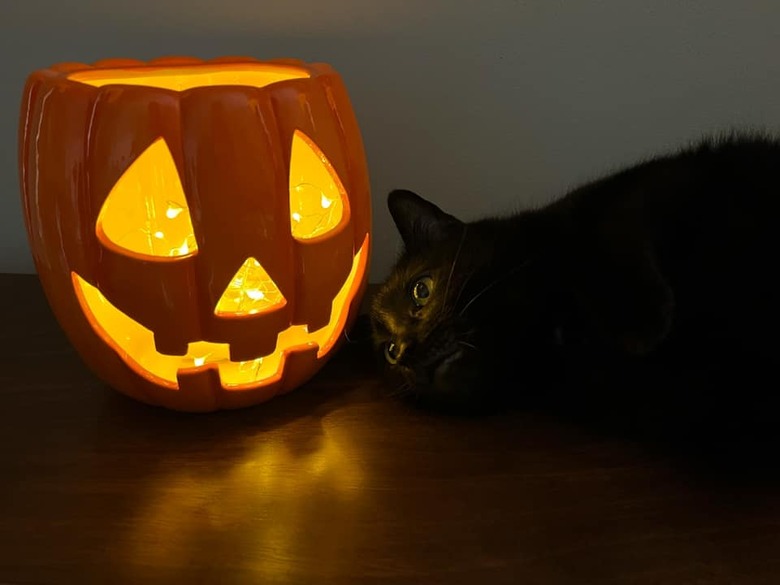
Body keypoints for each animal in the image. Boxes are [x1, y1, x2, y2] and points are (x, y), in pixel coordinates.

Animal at [368, 132, 780, 420]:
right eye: (388, 352)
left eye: (421, 290)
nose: (407, 351)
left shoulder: (650, 184)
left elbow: (614, 228)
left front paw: (642, 323)